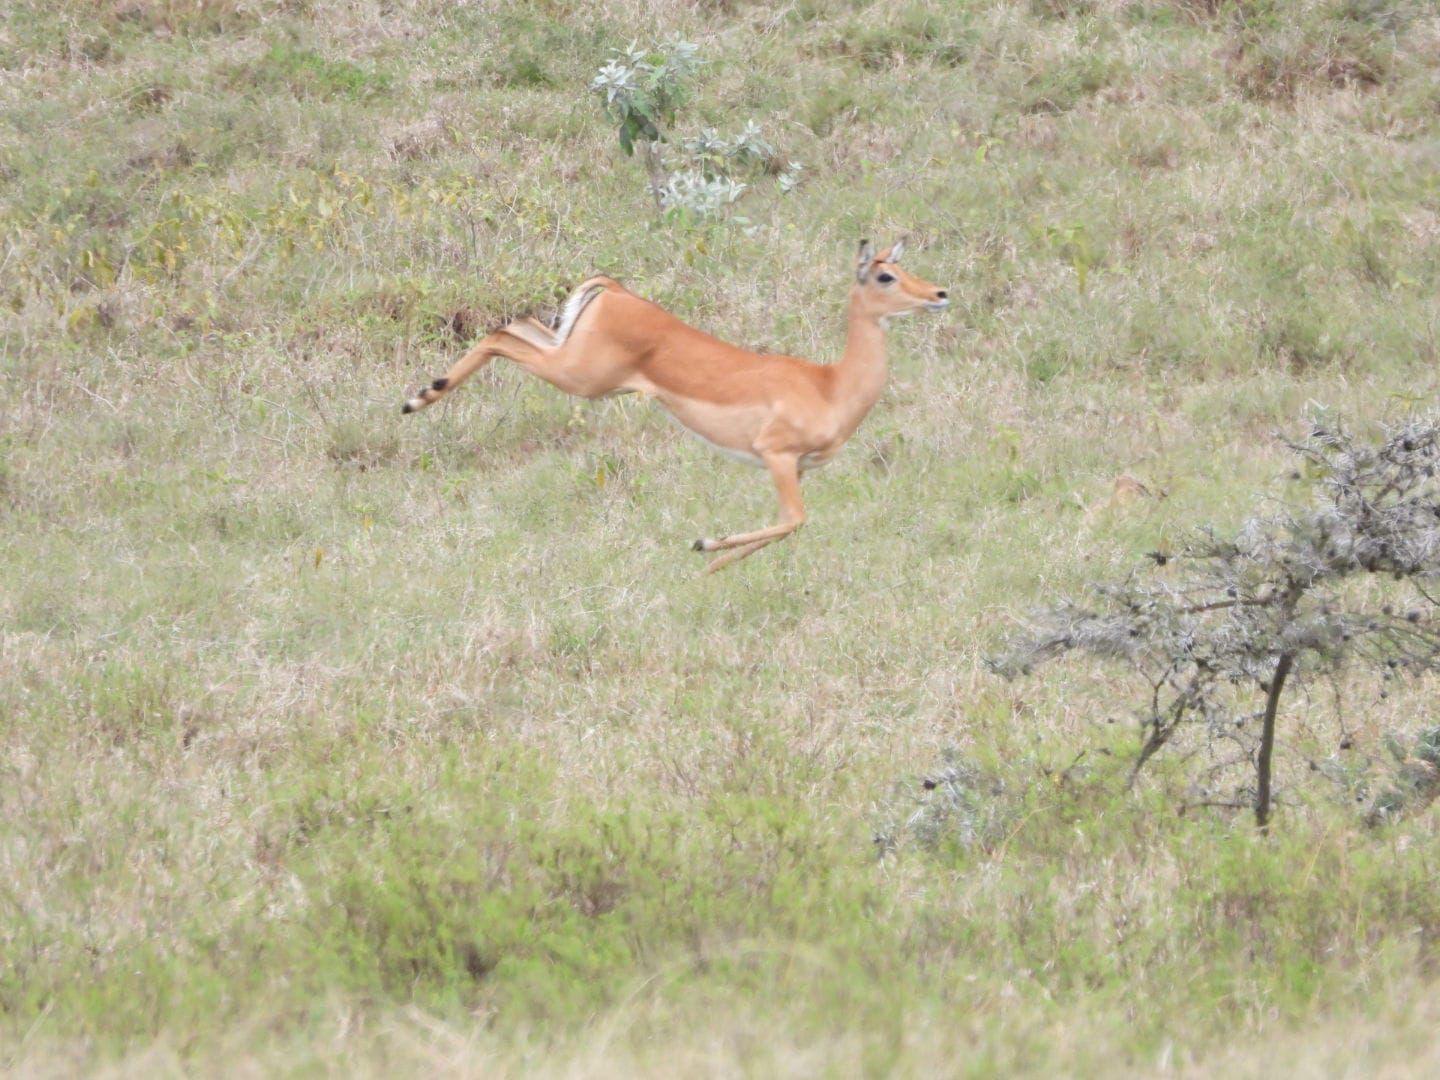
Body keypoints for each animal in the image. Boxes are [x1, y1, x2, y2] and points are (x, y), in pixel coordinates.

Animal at [402, 238, 948, 573]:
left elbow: (788, 526)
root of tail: (616, 291)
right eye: (884, 276)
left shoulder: (798, 468)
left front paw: (712, 560)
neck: (830, 384)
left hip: (570, 356)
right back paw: (416, 399)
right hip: (582, 377)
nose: (940, 292)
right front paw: (705, 546)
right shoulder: (777, 456)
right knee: (498, 335)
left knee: (513, 326)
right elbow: (795, 520)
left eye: (901, 266)